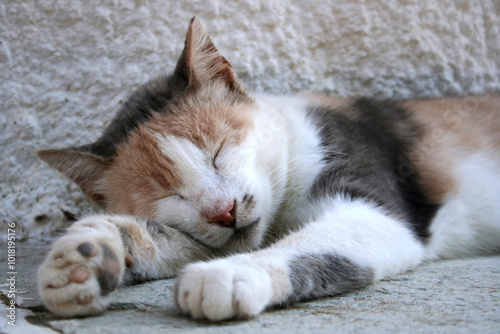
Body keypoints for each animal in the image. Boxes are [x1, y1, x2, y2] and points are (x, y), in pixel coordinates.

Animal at [36, 17, 500, 320]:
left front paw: (231, 274)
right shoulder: (216, 234)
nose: (224, 211)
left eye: (218, 151)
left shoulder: (379, 208)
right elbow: (171, 237)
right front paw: (90, 253)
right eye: (170, 195)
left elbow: (312, 241)